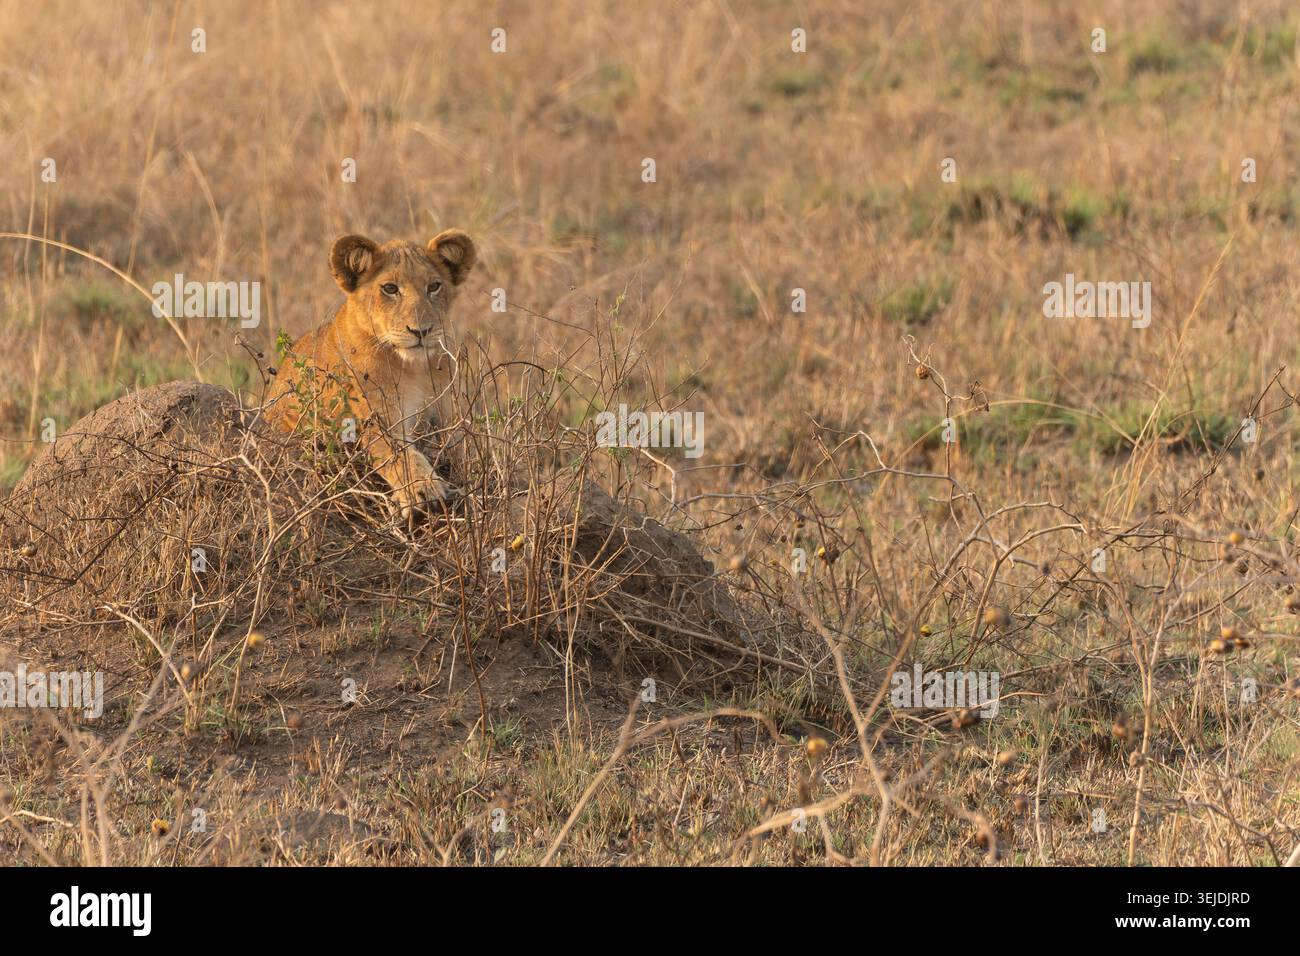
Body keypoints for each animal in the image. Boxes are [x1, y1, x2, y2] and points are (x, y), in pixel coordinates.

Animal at [265, 229, 477, 518]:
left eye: (434, 286)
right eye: (390, 289)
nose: (420, 331)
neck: (415, 368)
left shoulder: (448, 415)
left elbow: (460, 451)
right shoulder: (374, 419)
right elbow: (400, 455)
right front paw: (424, 490)